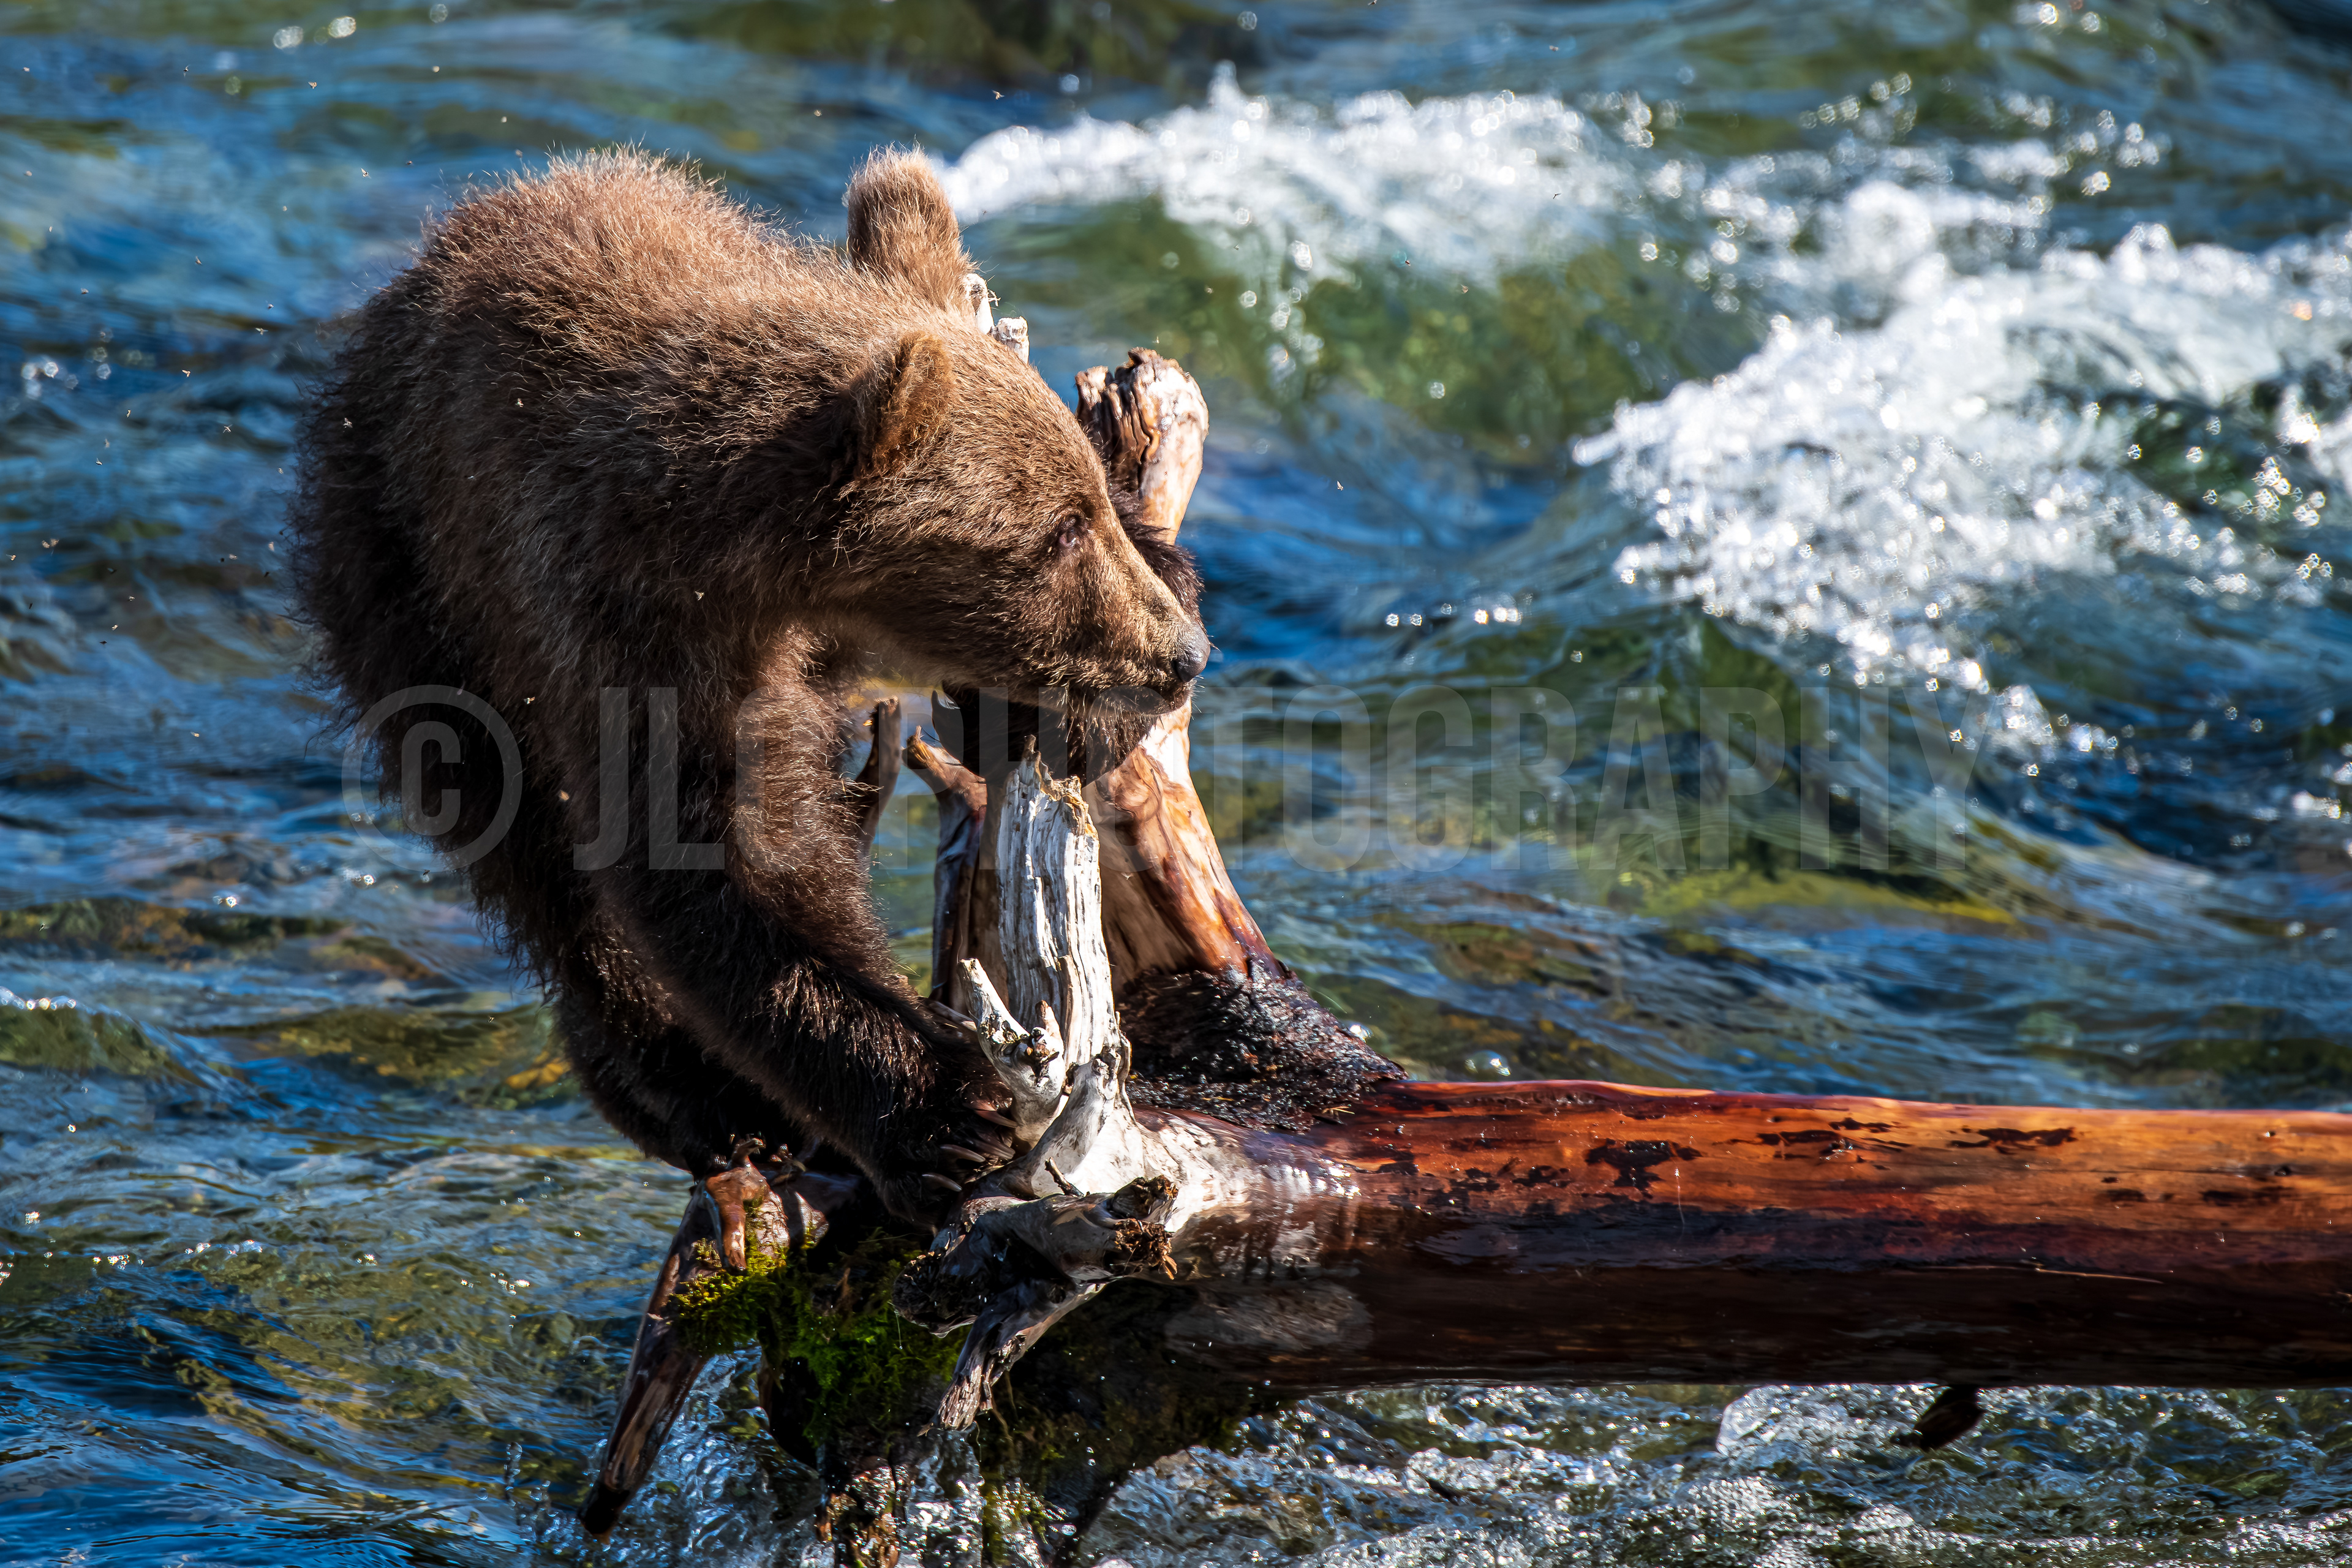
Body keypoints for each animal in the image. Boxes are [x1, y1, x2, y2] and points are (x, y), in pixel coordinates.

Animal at [289, 148, 1209, 1222]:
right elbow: (716, 873)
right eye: (1055, 532)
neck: (753, 569)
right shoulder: (626, 638)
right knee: (532, 865)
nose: (1180, 655)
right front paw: (941, 1112)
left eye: (1090, 502)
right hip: (410, 597)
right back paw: (697, 1096)